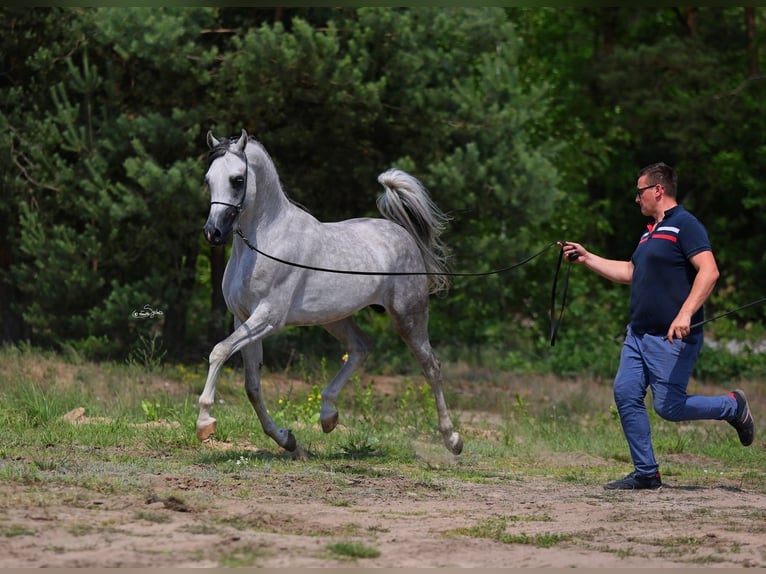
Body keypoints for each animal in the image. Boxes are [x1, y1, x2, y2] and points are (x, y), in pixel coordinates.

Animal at [198, 129, 463, 456]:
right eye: (208, 178)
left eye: (237, 179)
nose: (213, 233)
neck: (264, 243)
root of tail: (404, 235)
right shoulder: (243, 318)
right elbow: (252, 386)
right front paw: (287, 439)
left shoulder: (269, 317)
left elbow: (219, 351)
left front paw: (204, 422)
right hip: (335, 318)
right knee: (362, 348)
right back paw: (328, 417)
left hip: (408, 316)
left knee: (431, 367)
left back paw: (452, 440)